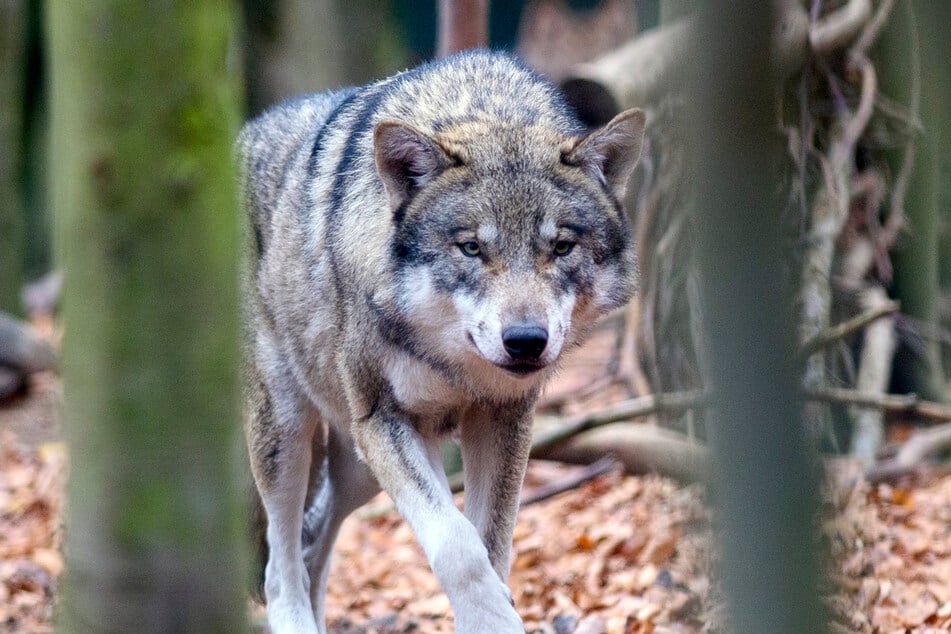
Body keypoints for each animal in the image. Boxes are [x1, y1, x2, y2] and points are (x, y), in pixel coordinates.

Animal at [236, 50, 648, 632]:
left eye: (561, 247)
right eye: (472, 248)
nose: (526, 341)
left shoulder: (503, 418)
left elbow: (488, 543)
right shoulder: (384, 420)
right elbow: (458, 545)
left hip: (356, 468)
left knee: (314, 546)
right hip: (291, 434)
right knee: (280, 563)